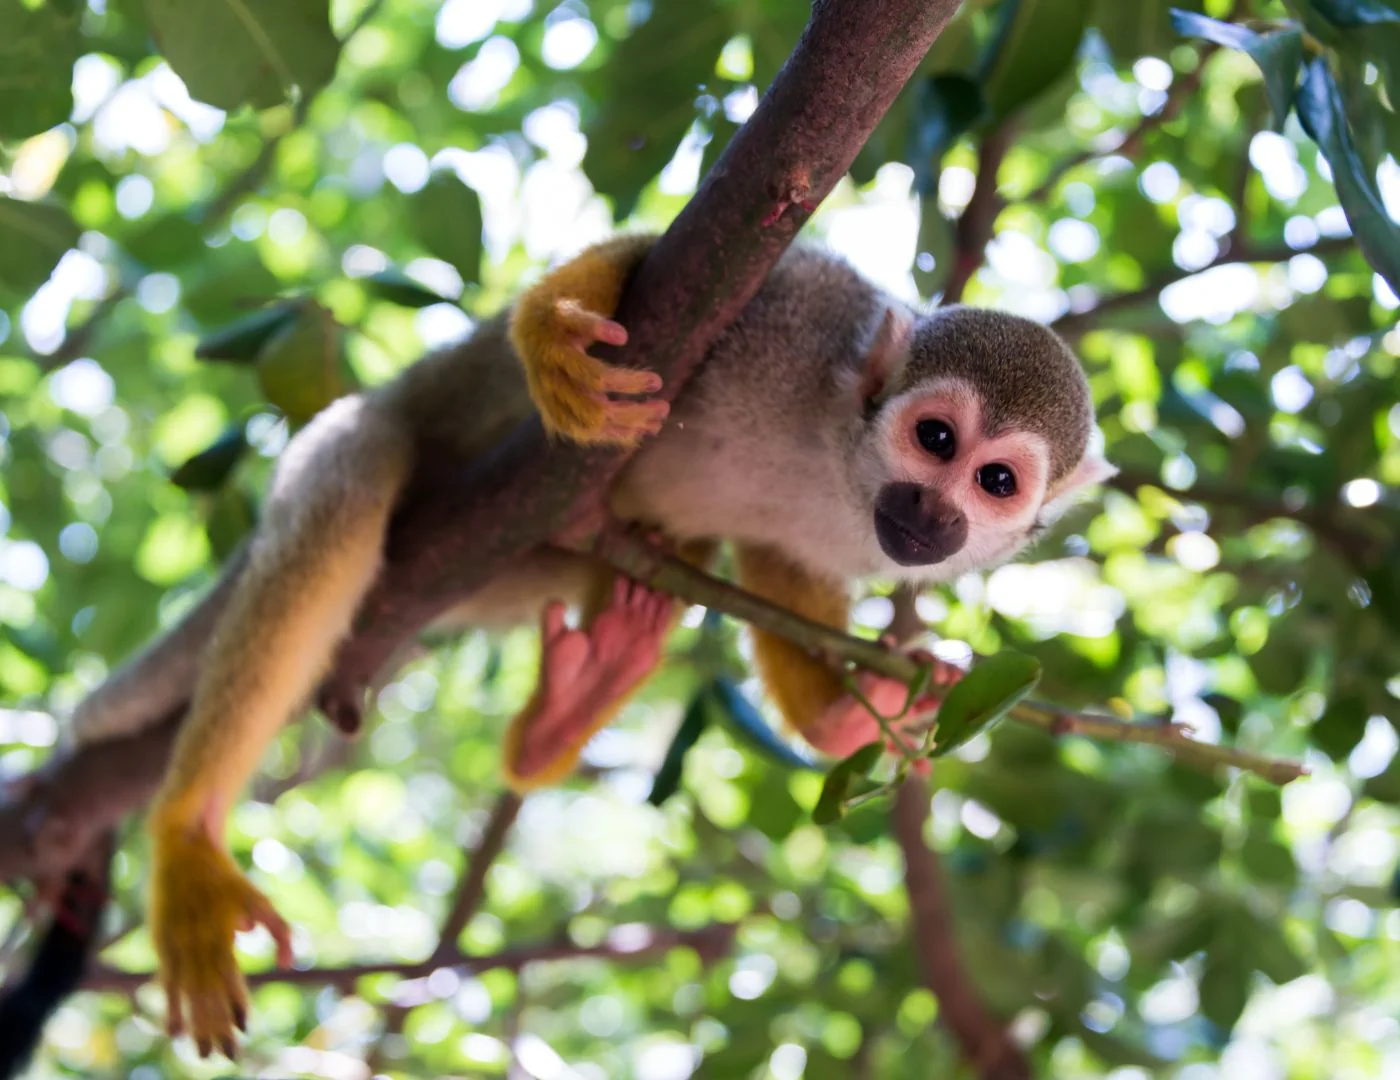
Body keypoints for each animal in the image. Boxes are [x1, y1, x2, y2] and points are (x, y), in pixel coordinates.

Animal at [56, 232, 1112, 1058]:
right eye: (935, 438)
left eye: (997, 483)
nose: (934, 518)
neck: (837, 463)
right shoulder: (802, 316)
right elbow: (679, 262)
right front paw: (553, 336)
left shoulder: (842, 528)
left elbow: (780, 567)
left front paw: (849, 717)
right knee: (352, 471)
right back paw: (188, 832)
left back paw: (567, 707)